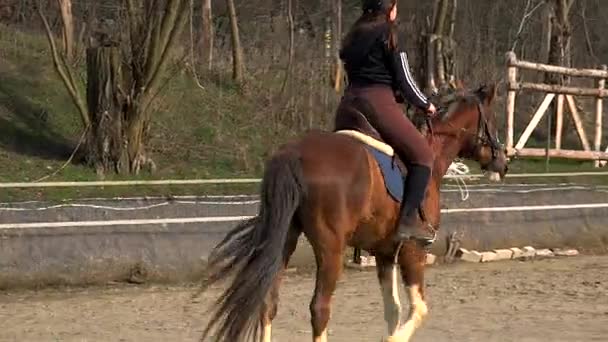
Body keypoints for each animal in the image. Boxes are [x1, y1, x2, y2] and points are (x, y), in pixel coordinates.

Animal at [196, 83, 508, 342]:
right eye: (493, 121)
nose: (504, 163)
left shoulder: (385, 253)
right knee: (320, 309)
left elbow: (393, 310)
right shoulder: (413, 250)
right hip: (331, 247)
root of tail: (295, 153)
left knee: (268, 301)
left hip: (285, 239)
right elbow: (418, 310)